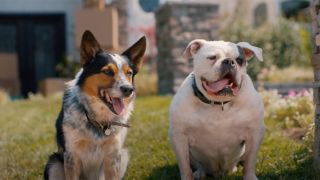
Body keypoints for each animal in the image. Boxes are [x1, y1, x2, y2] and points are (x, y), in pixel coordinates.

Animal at [44, 30, 146, 179]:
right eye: (107, 71)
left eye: (129, 73)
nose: (129, 89)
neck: (99, 120)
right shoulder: (72, 155)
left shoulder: (113, 156)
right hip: (53, 163)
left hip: (124, 156)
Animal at [170, 39, 264, 180]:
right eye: (212, 57)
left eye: (239, 60)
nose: (229, 61)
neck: (219, 103)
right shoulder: (179, 136)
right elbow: (185, 166)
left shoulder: (254, 134)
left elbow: (250, 162)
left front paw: (250, 177)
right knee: (197, 164)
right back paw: (200, 172)